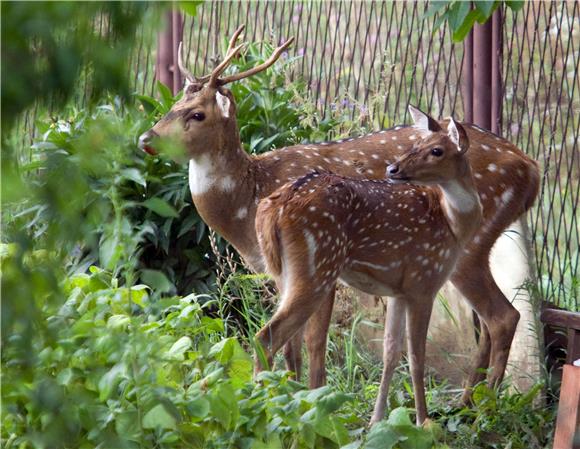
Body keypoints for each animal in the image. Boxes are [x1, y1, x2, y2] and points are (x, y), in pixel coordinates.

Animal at [256, 114, 482, 422]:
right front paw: (423, 420)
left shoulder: (399, 291)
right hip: (317, 268)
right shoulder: (424, 280)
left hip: (283, 274)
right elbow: (417, 357)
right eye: (417, 145)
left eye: (436, 150)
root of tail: (273, 209)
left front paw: (377, 419)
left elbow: (391, 352)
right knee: (266, 337)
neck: (452, 225)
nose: (393, 168)